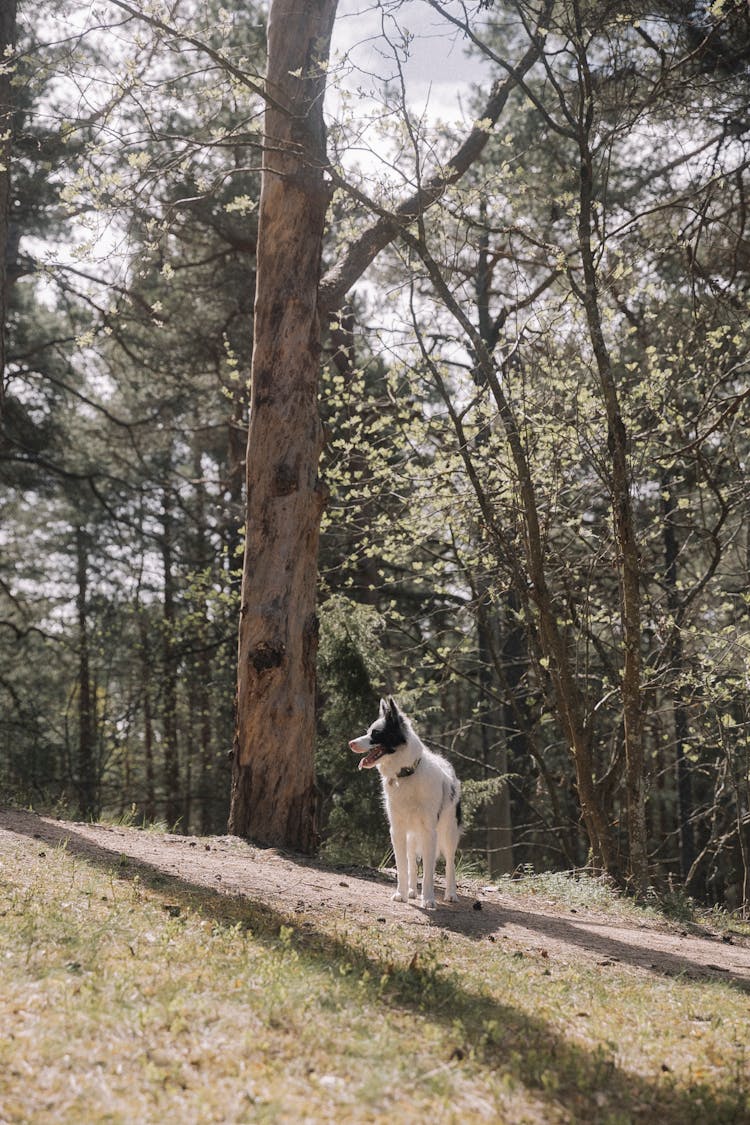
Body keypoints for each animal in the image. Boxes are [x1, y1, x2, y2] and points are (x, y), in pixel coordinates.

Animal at [348, 697, 461, 909]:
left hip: (448, 831)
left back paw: (451, 894)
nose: (350, 743)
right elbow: (402, 866)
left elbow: (429, 870)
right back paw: (411, 891)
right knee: (411, 862)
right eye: (368, 732)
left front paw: (429, 899)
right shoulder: (398, 830)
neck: (406, 775)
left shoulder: (429, 832)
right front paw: (401, 894)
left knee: (450, 862)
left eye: (376, 734)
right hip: (412, 835)